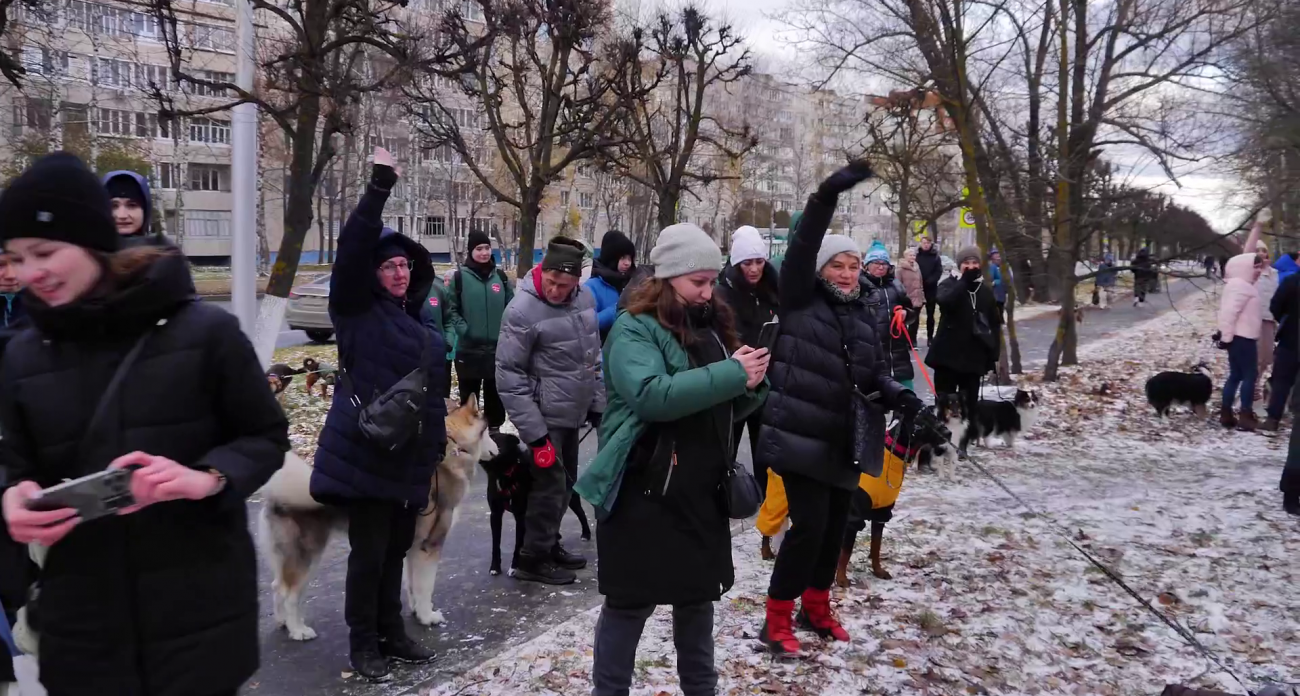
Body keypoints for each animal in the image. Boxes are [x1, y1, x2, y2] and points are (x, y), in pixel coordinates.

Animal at [258, 395, 496, 640]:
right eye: (488, 432)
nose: (496, 450)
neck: (454, 450)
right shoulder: (430, 545)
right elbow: (424, 587)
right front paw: (427, 616)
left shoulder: (411, 545)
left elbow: (412, 584)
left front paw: (416, 611)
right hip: (308, 556)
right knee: (289, 594)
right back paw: (298, 630)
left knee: (277, 586)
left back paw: (283, 622)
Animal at [483, 429, 595, 577]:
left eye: (495, 441)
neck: (504, 474)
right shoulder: (495, 514)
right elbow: (495, 544)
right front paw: (495, 567)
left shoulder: (521, 515)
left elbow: (518, 544)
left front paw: (515, 566)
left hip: (570, 497)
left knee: (580, 513)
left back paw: (586, 534)